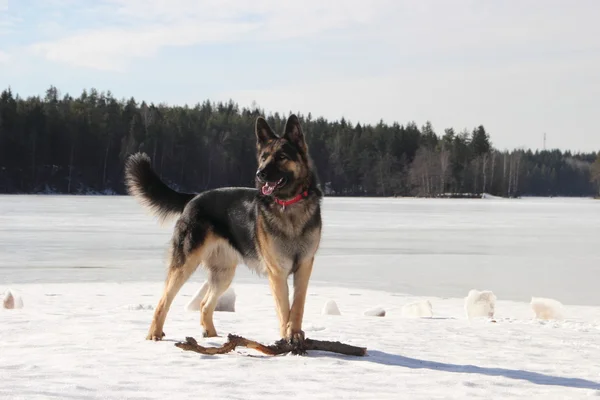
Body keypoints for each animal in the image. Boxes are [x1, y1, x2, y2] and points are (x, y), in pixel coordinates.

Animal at [124, 113, 324, 344]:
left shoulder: (304, 267)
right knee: (163, 300)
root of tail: (194, 197)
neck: (289, 205)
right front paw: (286, 338)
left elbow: (297, 306)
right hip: (185, 265)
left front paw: (296, 334)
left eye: (281, 156)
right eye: (264, 157)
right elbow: (284, 309)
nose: (260, 174)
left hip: (224, 274)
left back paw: (212, 336)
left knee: (204, 304)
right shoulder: (277, 272)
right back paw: (154, 334)